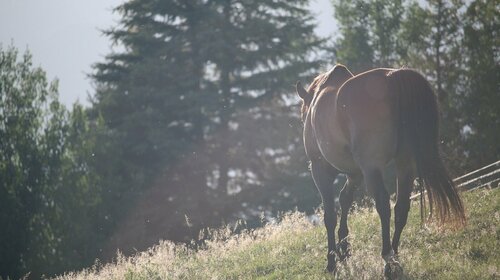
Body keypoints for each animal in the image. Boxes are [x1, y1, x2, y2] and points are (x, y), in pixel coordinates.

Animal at [296, 65, 464, 278]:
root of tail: (393, 77)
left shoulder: (321, 170)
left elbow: (330, 216)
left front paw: (332, 261)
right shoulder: (355, 173)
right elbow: (345, 199)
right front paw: (344, 249)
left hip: (372, 168)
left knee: (384, 205)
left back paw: (387, 259)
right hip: (405, 164)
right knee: (401, 207)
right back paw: (394, 256)